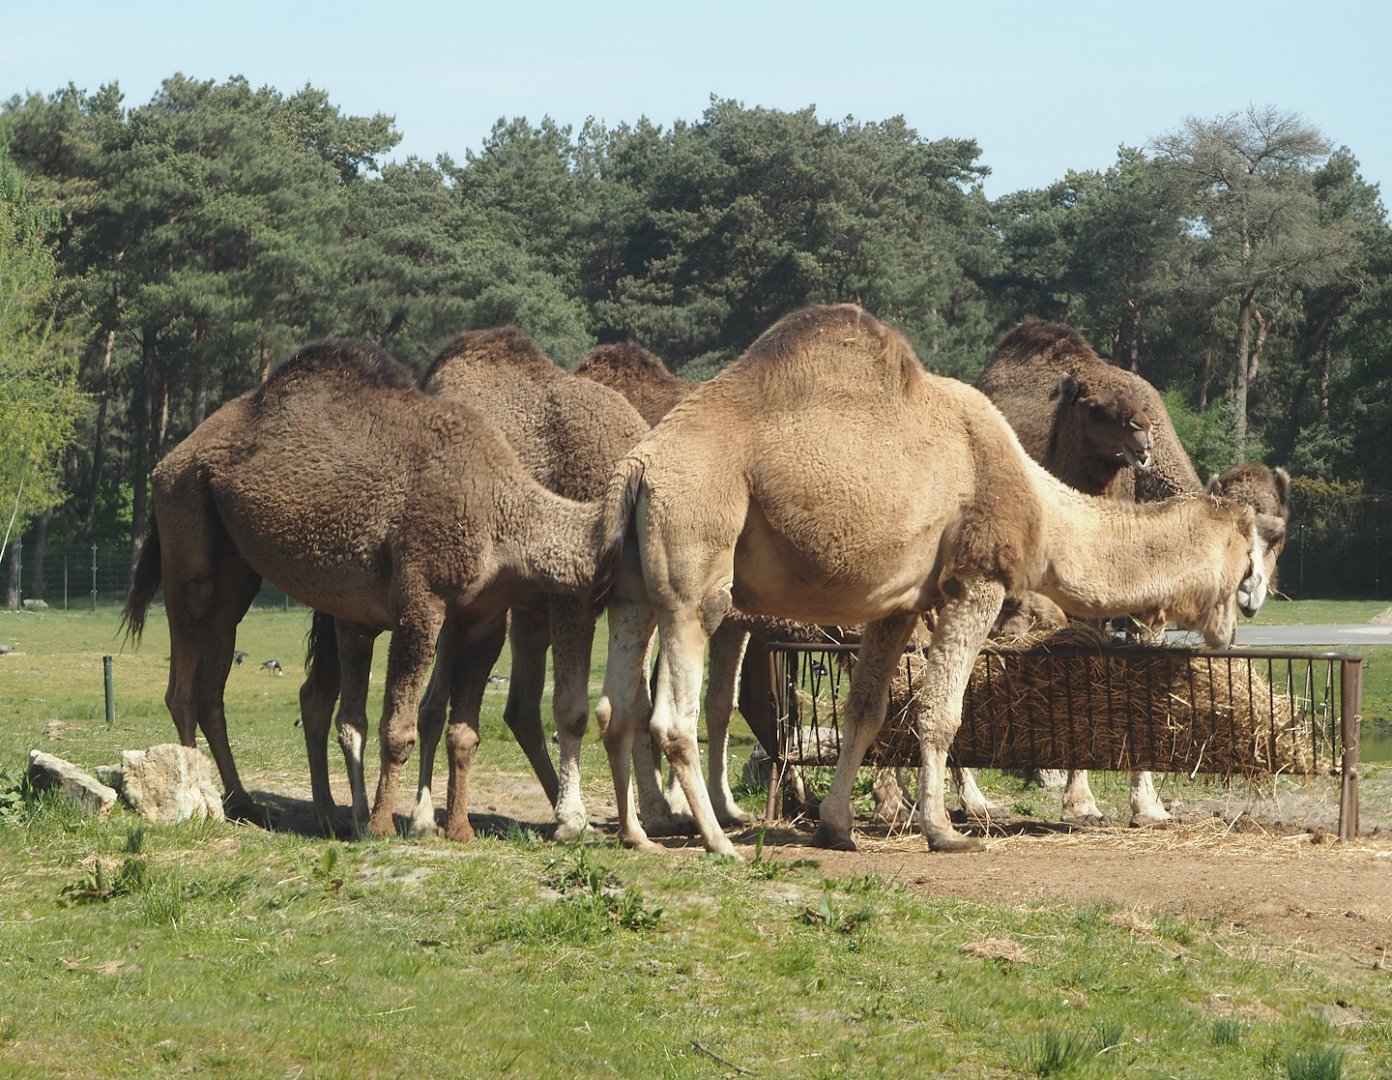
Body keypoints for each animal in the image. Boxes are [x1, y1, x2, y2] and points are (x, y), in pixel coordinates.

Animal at [120, 339, 622, 835]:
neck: (504, 510)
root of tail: (169, 459)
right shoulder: (419, 601)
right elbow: (397, 729)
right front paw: (381, 823)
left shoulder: (483, 618)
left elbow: (465, 733)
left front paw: (459, 829)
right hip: (185, 520)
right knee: (184, 672)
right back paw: (199, 803)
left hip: (236, 567)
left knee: (215, 676)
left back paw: (246, 803)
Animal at [589, 304, 1268, 857]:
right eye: (1248, 548)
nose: (1249, 604)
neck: (1043, 510)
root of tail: (638, 468)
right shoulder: (977, 580)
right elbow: (941, 713)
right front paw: (944, 831)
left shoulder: (900, 604)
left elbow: (866, 709)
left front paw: (836, 826)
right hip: (696, 555)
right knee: (672, 713)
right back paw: (717, 842)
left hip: (633, 587)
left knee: (619, 704)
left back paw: (639, 834)